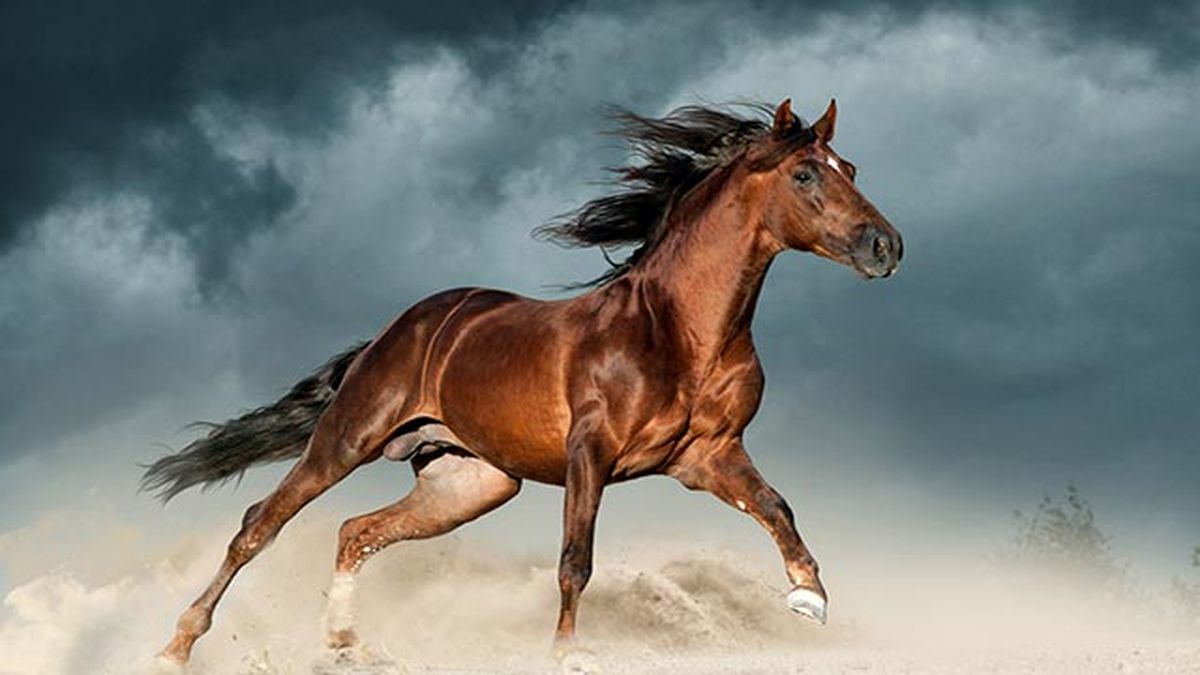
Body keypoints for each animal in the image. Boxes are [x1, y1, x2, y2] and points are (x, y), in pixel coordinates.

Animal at [143, 97, 902, 667]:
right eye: (805, 175)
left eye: (851, 167)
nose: (886, 247)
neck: (678, 330)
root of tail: (402, 328)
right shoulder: (589, 453)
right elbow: (575, 560)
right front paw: (566, 654)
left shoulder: (708, 456)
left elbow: (777, 508)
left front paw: (810, 599)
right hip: (349, 438)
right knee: (258, 525)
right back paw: (176, 645)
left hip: (468, 482)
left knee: (356, 532)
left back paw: (343, 645)